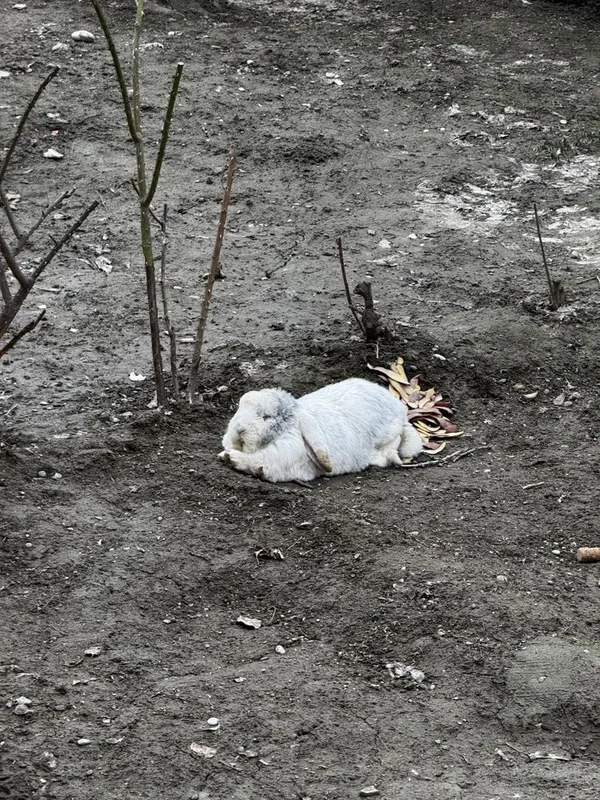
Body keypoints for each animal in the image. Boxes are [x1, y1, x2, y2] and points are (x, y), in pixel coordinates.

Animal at [219, 377, 423, 483]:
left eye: (267, 416)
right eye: (240, 407)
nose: (239, 429)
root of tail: (399, 407)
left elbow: (256, 462)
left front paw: (230, 458)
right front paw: (226, 455)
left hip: (389, 433)